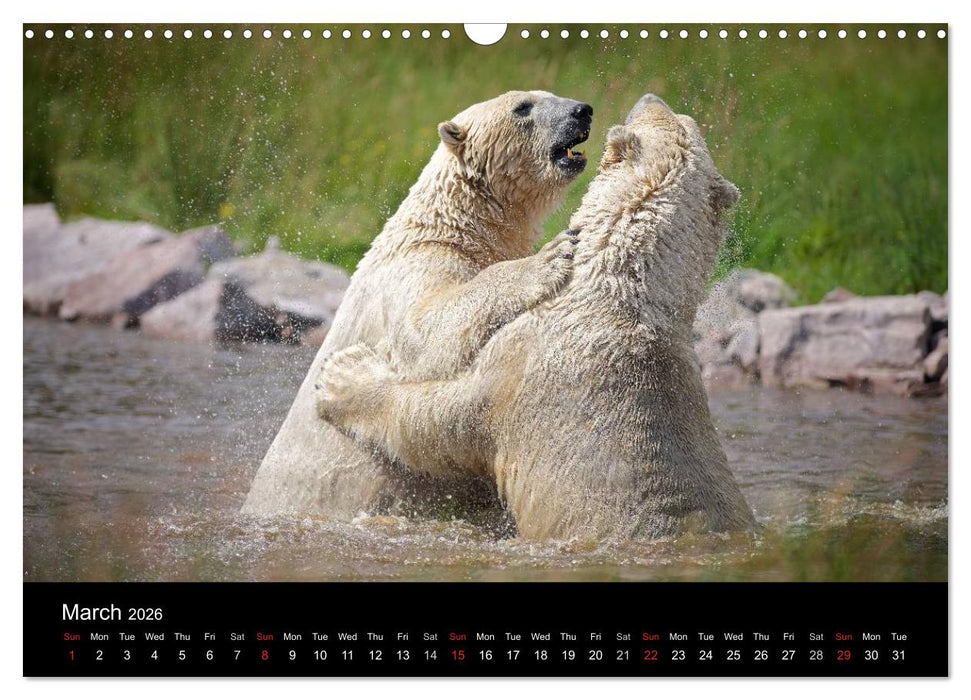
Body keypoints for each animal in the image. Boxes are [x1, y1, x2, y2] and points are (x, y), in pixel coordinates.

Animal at [241, 90, 594, 521]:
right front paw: (551, 256)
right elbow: (426, 332)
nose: (582, 111)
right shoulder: (414, 269)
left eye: (549, 95)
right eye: (522, 107)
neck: (456, 223)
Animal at [313, 94, 756, 542]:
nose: (649, 96)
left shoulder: (514, 370)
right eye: (682, 118)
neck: (625, 292)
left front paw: (341, 377)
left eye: (664, 114)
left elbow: (435, 421)